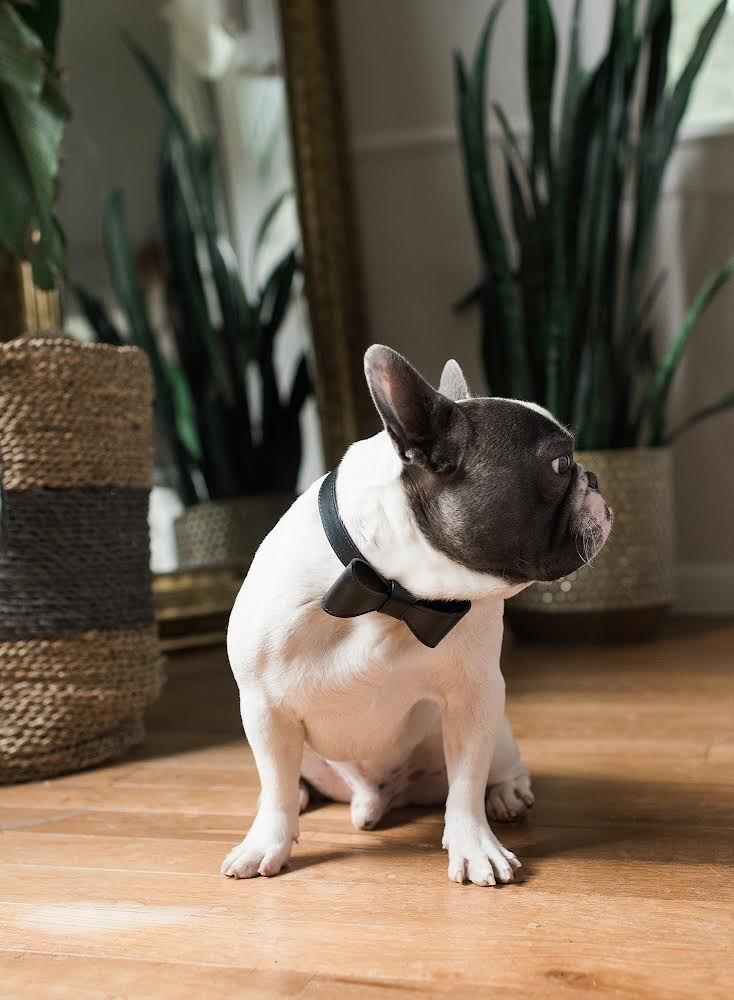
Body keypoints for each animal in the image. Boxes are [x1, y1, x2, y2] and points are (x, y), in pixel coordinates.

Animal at [226, 344, 616, 884]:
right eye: (560, 463)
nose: (594, 477)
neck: (389, 591)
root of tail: (376, 798)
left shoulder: (474, 697)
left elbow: (467, 784)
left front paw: (474, 846)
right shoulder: (264, 707)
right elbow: (276, 790)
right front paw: (268, 842)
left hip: (491, 727)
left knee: (493, 769)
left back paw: (507, 794)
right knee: (286, 780)